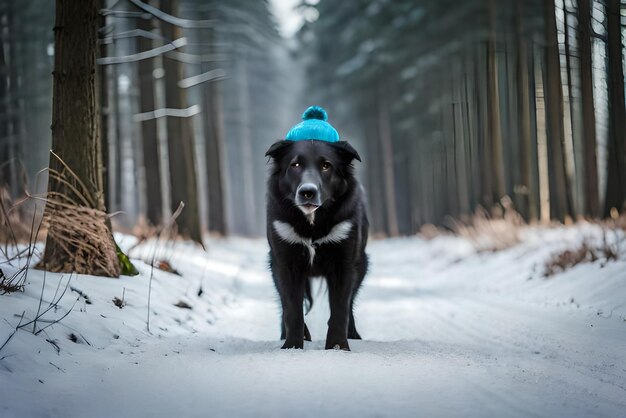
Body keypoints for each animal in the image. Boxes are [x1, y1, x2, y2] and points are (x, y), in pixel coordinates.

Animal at [264, 140, 366, 350]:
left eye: (326, 165)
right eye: (295, 165)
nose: (307, 192)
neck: (312, 223)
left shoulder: (343, 264)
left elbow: (341, 309)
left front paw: (338, 347)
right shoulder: (286, 264)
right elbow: (292, 309)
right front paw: (292, 346)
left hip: (361, 265)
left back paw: (353, 334)